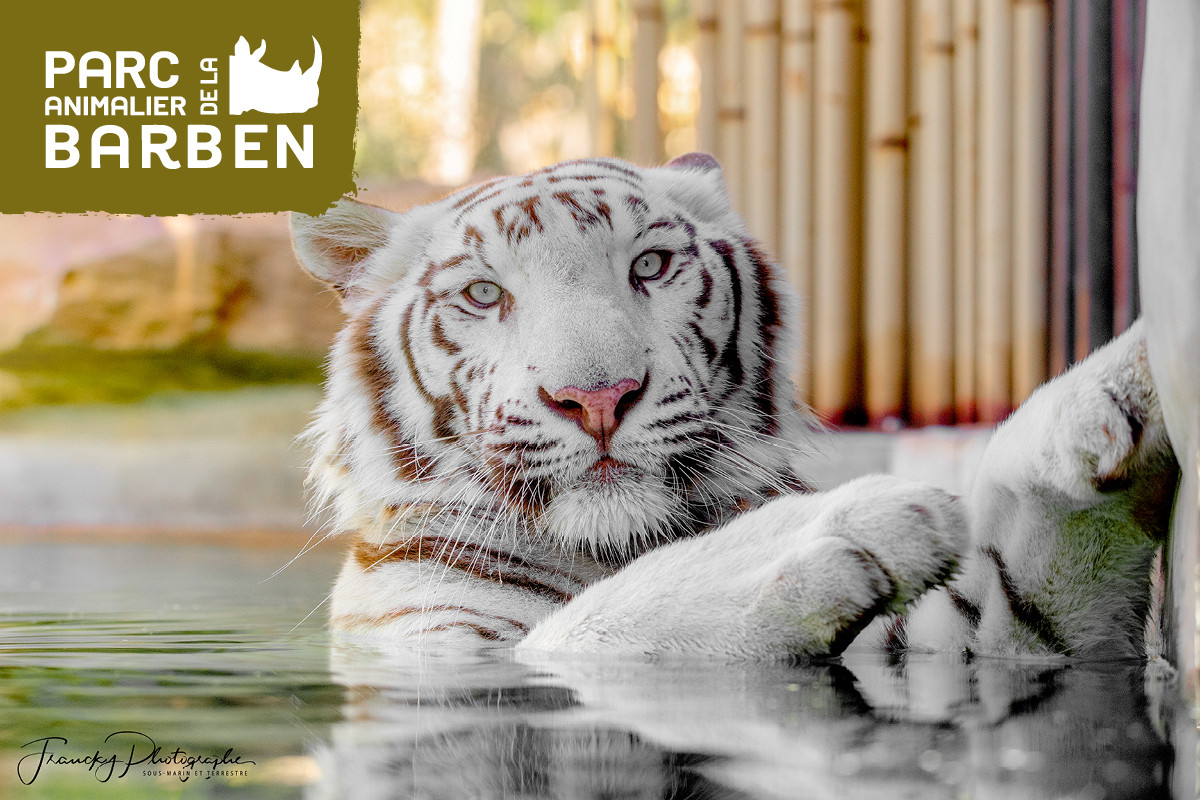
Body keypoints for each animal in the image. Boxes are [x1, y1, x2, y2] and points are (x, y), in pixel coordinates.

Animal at [290, 153, 1178, 662]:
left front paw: (1134, 370)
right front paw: (844, 525)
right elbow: (595, 623)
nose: (597, 398)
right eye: (482, 294)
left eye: (650, 266)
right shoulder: (442, 641)